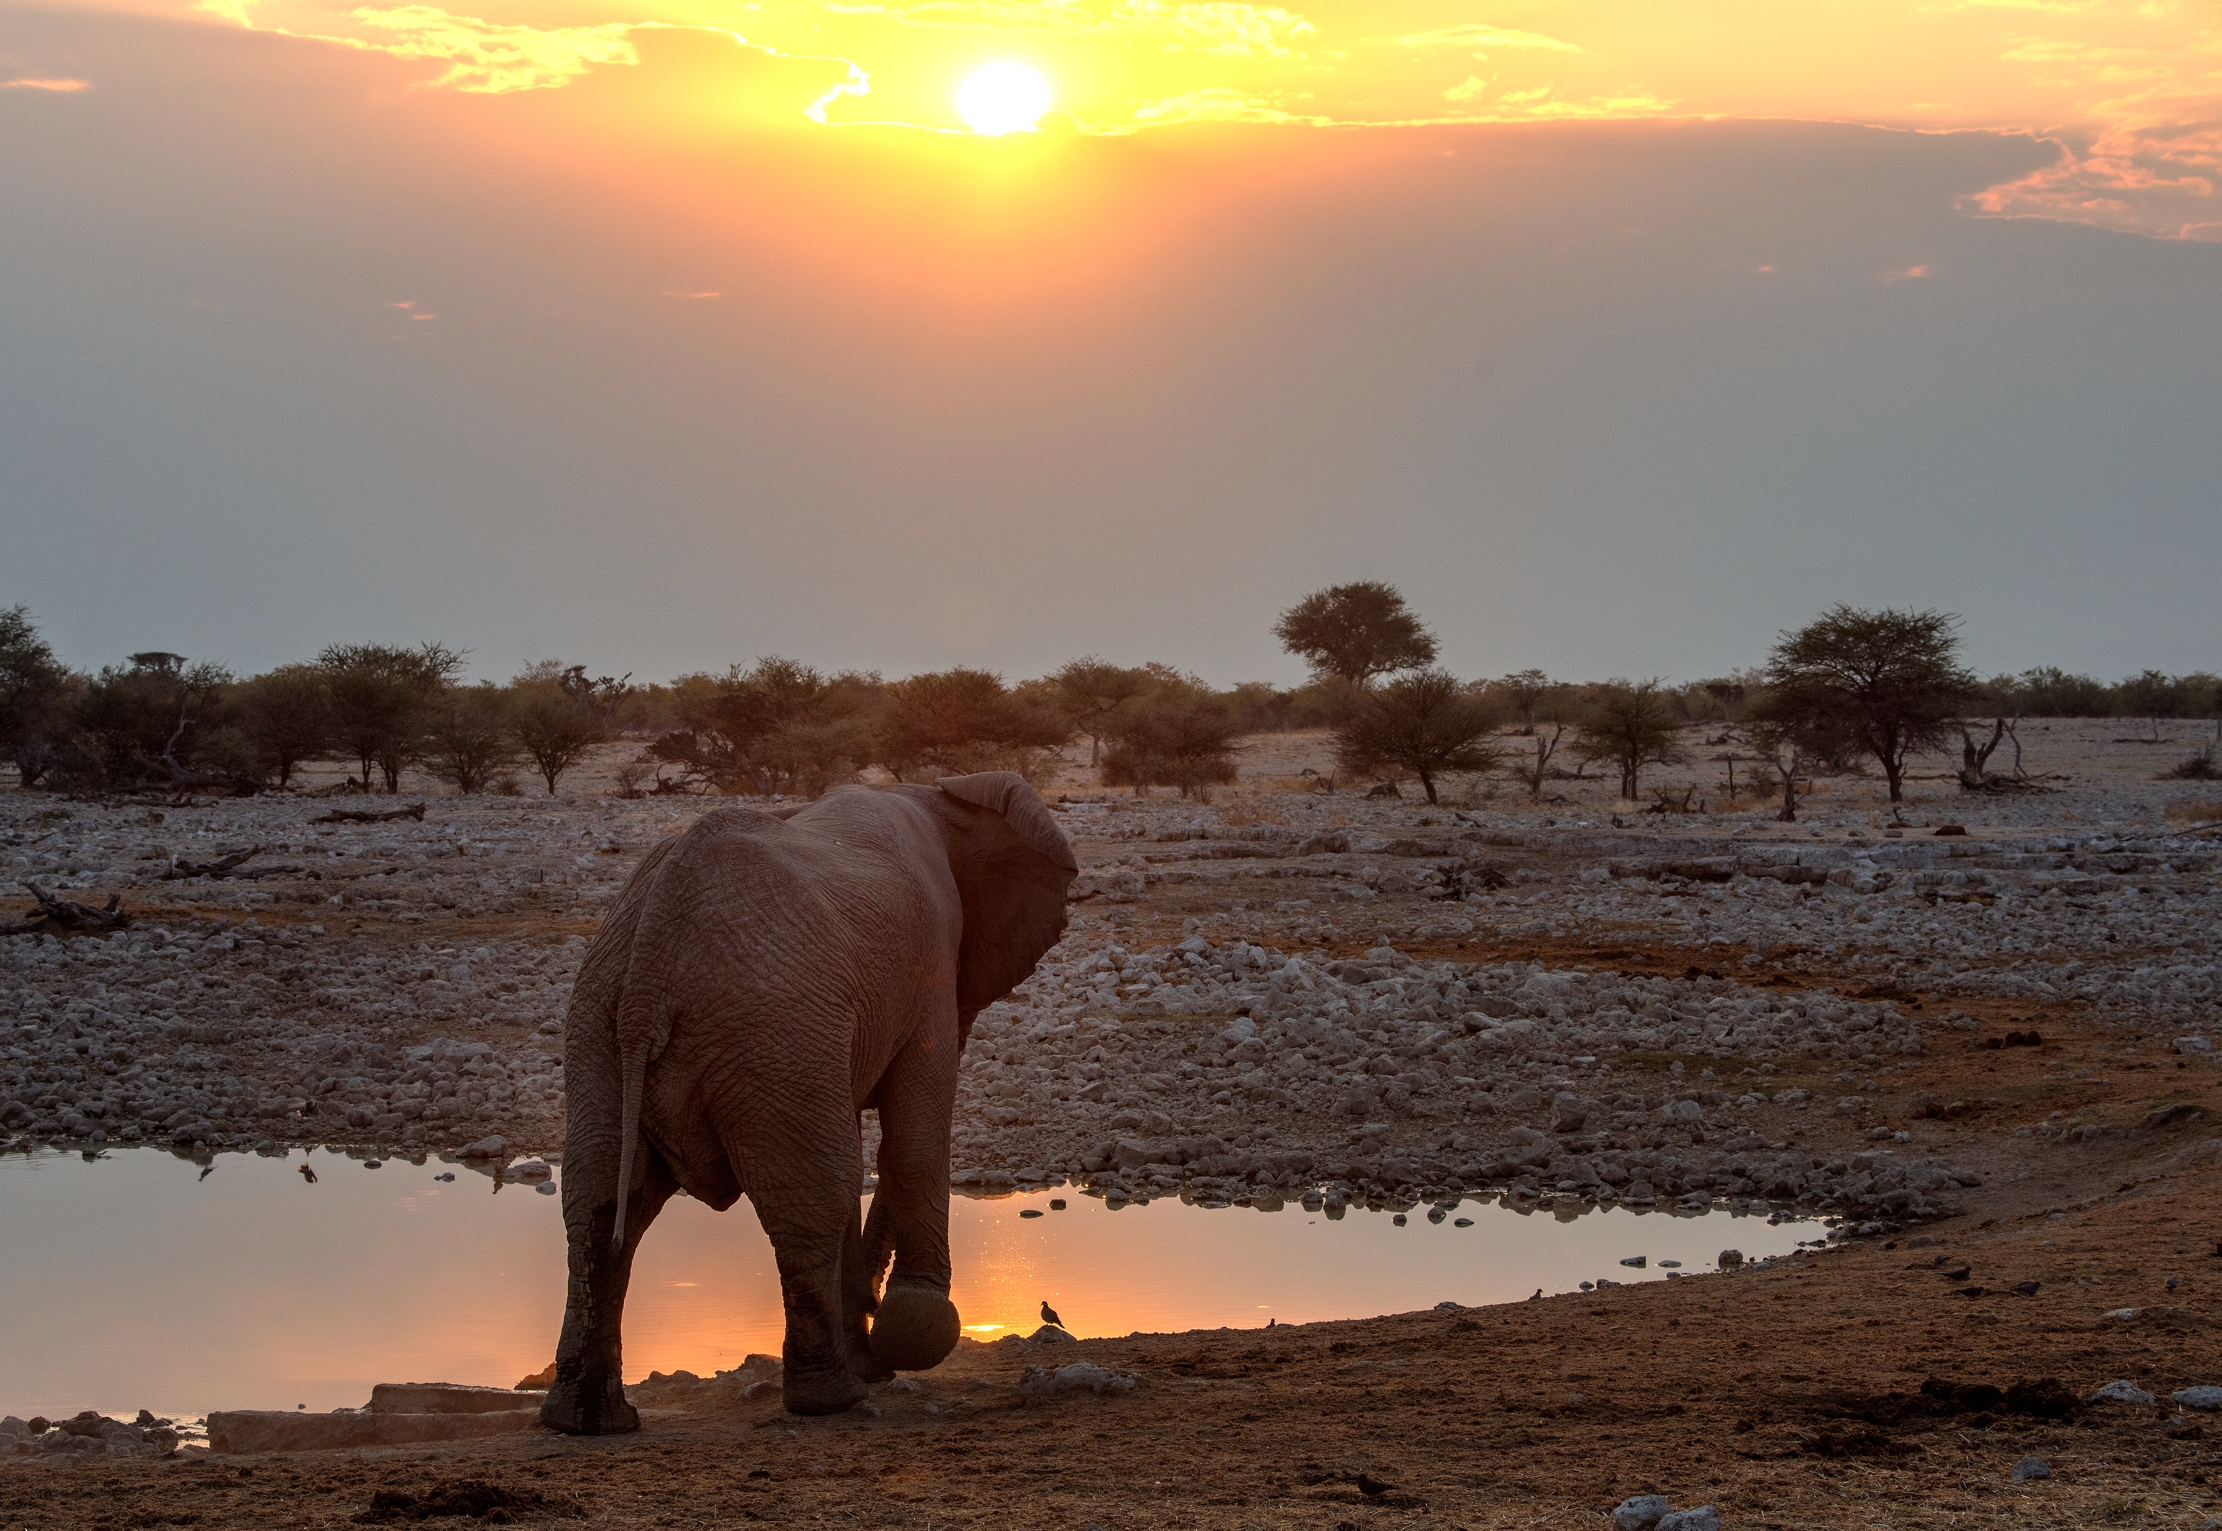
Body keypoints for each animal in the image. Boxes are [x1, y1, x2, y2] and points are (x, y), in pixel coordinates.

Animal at [539, 771, 1076, 1431]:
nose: (874, 1312)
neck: (940, 793)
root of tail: (649, 962)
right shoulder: (927, 972)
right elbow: (912, 1138)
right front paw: (908, 1336)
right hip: (768, 1029)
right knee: (814, 1194)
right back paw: (835, 1399)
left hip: (601, 1025)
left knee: (600, 1201)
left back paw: (589, 1421)